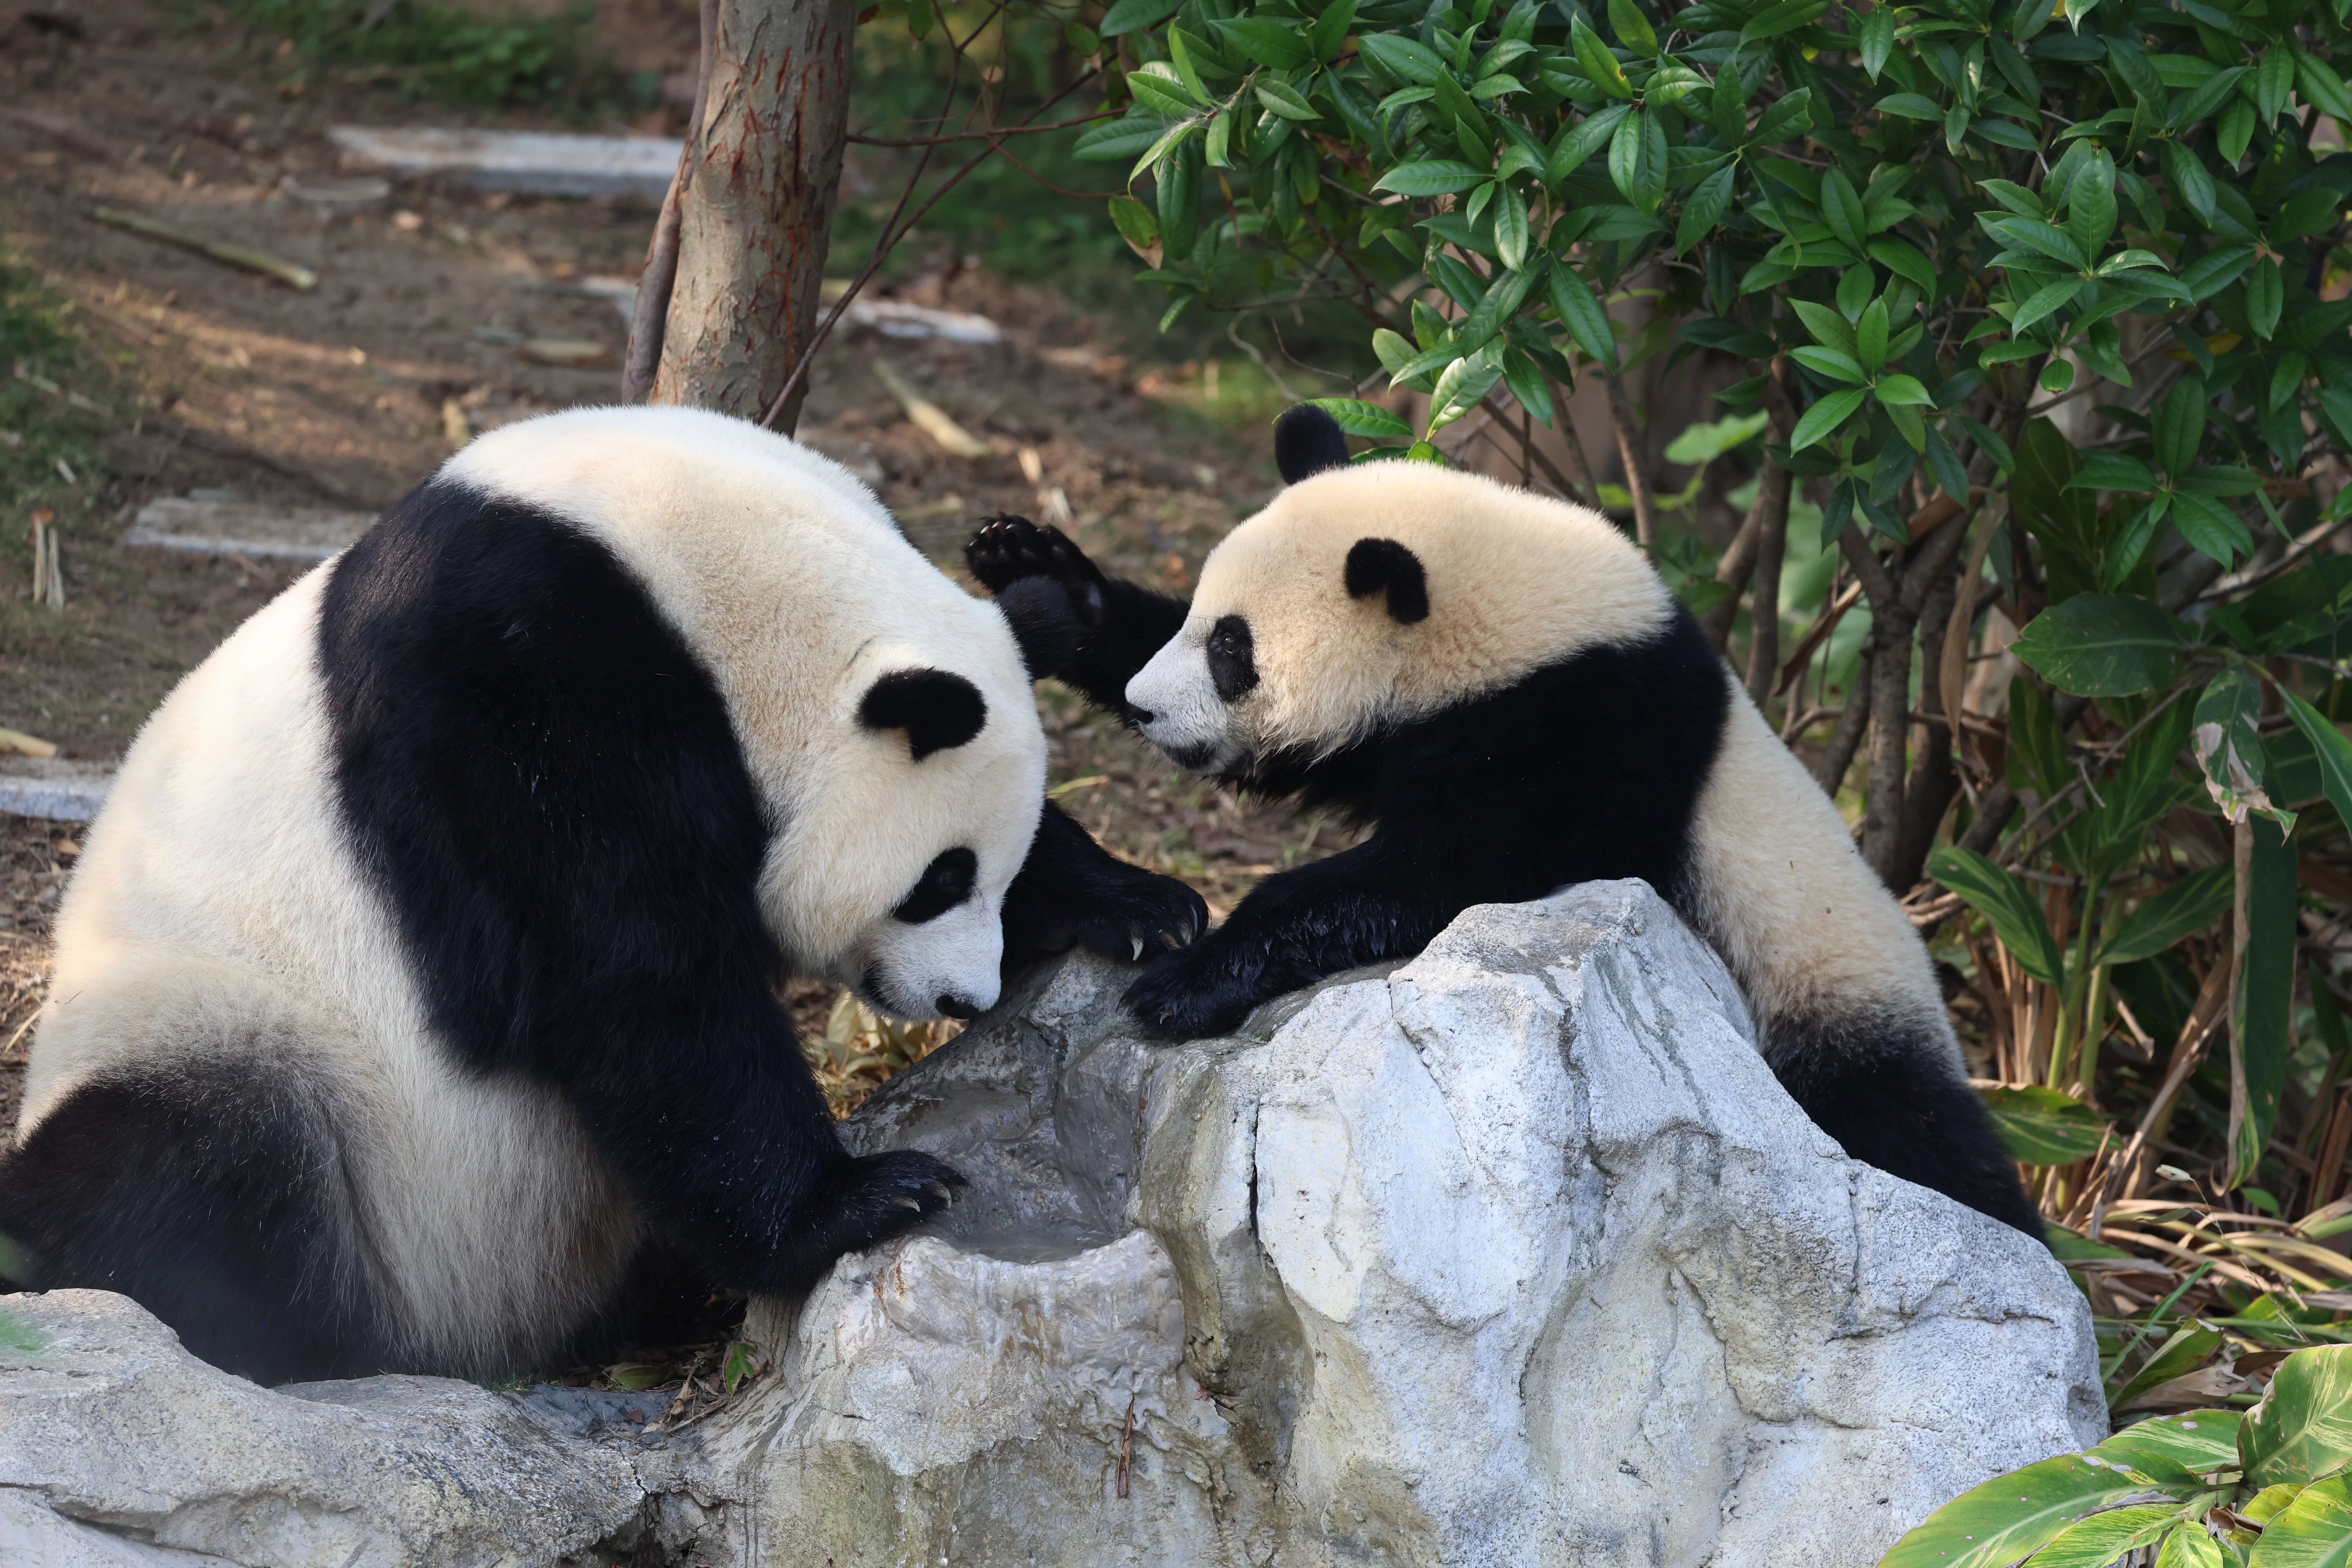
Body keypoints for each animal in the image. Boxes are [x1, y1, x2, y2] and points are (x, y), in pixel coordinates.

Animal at [0, 405, 1205, 1385]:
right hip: (228, 1035)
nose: (965, 998)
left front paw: (1142, 908)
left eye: (986, 873)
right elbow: (632, 976)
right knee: (191, 1165)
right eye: (937, 880)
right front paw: (863, 1200)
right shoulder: (514, 696)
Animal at [965, 403, 2038, 1236]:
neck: (1512, 619)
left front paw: (1187, 978)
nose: (1148, 709)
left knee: (1915, 1130)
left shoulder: (1578, 728)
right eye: (1199, 614)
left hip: (1825, 997)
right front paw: (1038, 567)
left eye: (1235, 651)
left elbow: (1444, 875)